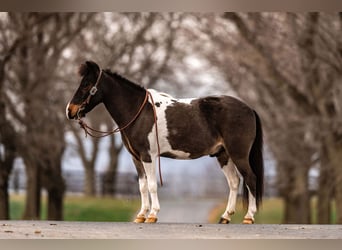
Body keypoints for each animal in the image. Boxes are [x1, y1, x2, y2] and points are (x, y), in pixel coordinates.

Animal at [67, 61, 264, 225]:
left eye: (87, 84)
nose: (70, 110)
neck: (139, 112)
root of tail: (249, 109)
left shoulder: (148, 156)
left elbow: (152, 185)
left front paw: (153, 215)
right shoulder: (136, 158)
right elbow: (142, 186)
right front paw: (141, 215)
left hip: (238, 155)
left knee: (250, 179)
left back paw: (249, 217)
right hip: (223, 155)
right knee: (234, 182)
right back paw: (225, 217)